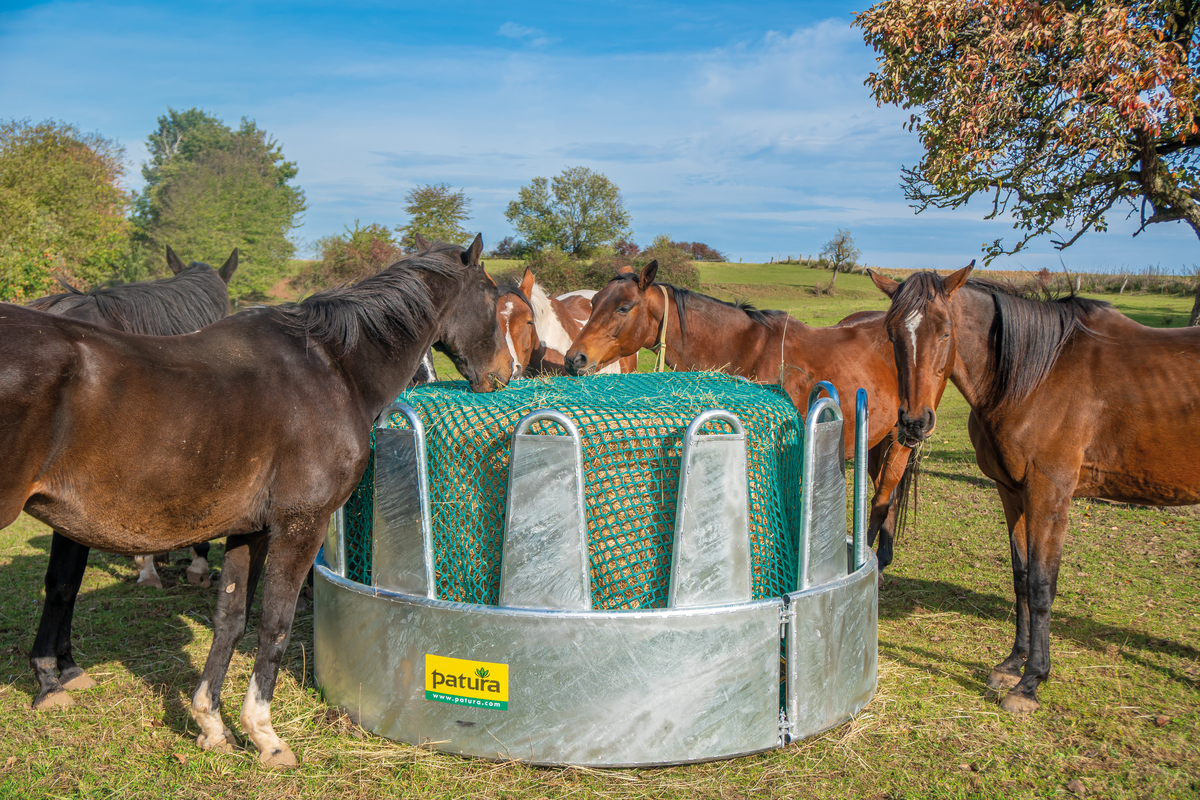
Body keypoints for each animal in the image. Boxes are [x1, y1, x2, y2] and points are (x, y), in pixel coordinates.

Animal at [564, 260, 916, 566]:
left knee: (886, 493)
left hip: (899, 440)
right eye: (592, 304)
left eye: (624, 307)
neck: (746, 348)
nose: (574, 359)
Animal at [868, 266, 1200, 714]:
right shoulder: (1013, 493)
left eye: (944, 332)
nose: (914, 423)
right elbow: (1021, 577)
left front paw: (1030, 682)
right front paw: (1012, 664)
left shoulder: (1049, 497)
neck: (1037, 378)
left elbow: (1042, 586)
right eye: (892, 334)